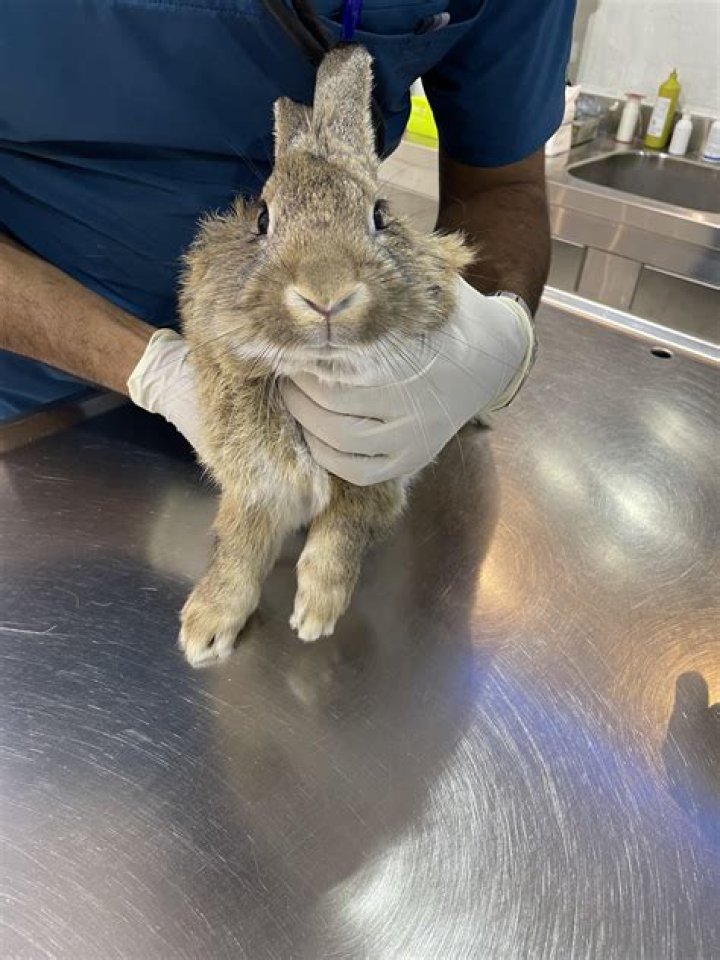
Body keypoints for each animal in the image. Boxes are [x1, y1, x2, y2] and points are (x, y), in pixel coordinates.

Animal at [178, 44, 472, 667]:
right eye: (262, 220)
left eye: (380, 215)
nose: (327, 293)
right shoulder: (257, 486)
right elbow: (238, 547)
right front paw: (205, 629)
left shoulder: (372, 481)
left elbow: (339, 540)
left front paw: (316, 613)